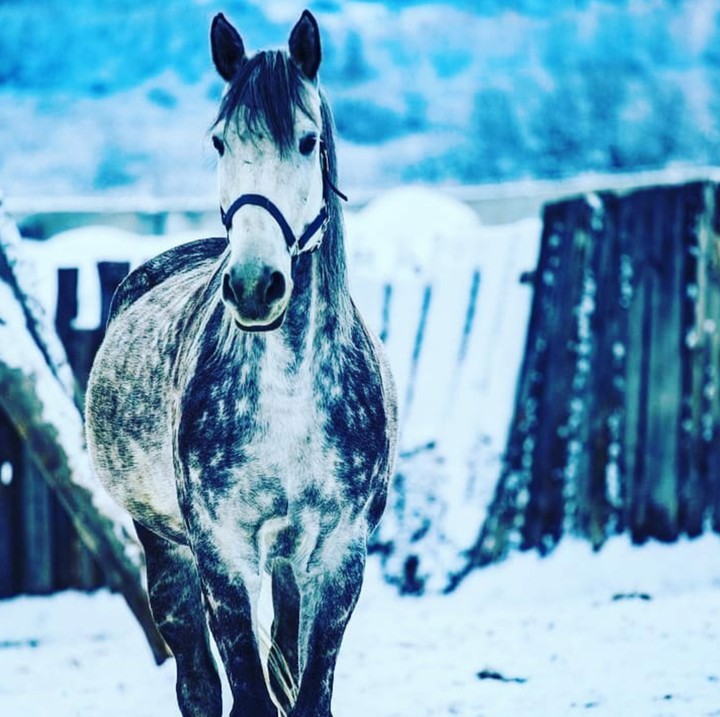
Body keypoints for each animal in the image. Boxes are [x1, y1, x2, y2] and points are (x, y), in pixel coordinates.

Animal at [85, 10, 397, 717]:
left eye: (309, 141)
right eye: (220, 141)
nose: (255, 285)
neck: (289, 398)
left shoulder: (338, 557)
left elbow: (308, 694)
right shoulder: (221, 555)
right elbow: (247, 696)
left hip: (286, 565)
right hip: (165, 549)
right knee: (197, 684)